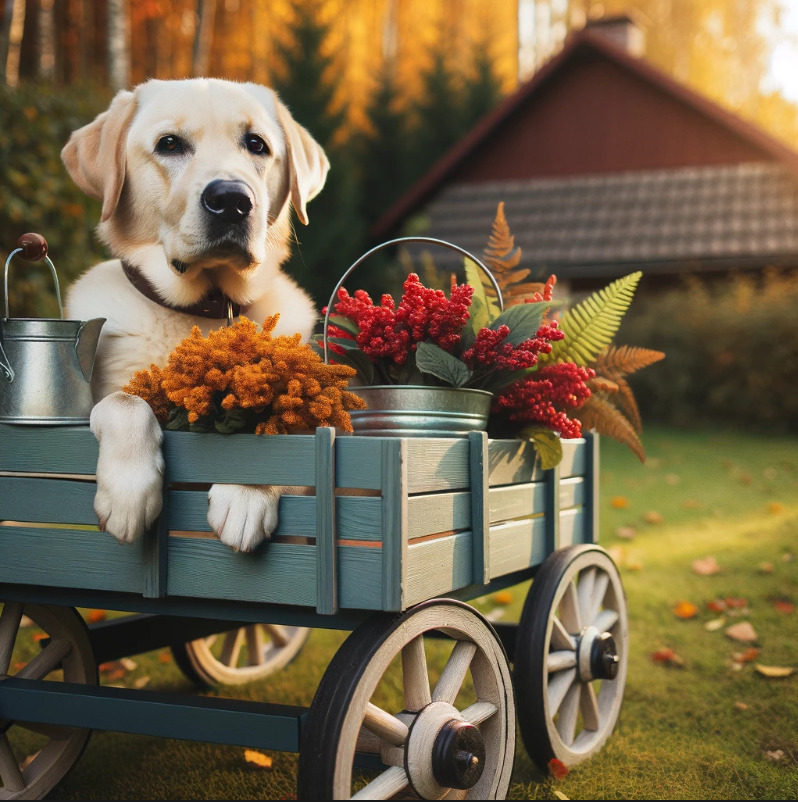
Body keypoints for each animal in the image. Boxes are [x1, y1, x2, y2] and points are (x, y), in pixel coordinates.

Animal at [61, 79, 332, 552]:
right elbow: (125, 401)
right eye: (169, 144)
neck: (201, 309)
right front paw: (129, 492)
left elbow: (278, 425)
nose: (232, 200)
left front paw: (246, 491)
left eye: (256, 145)